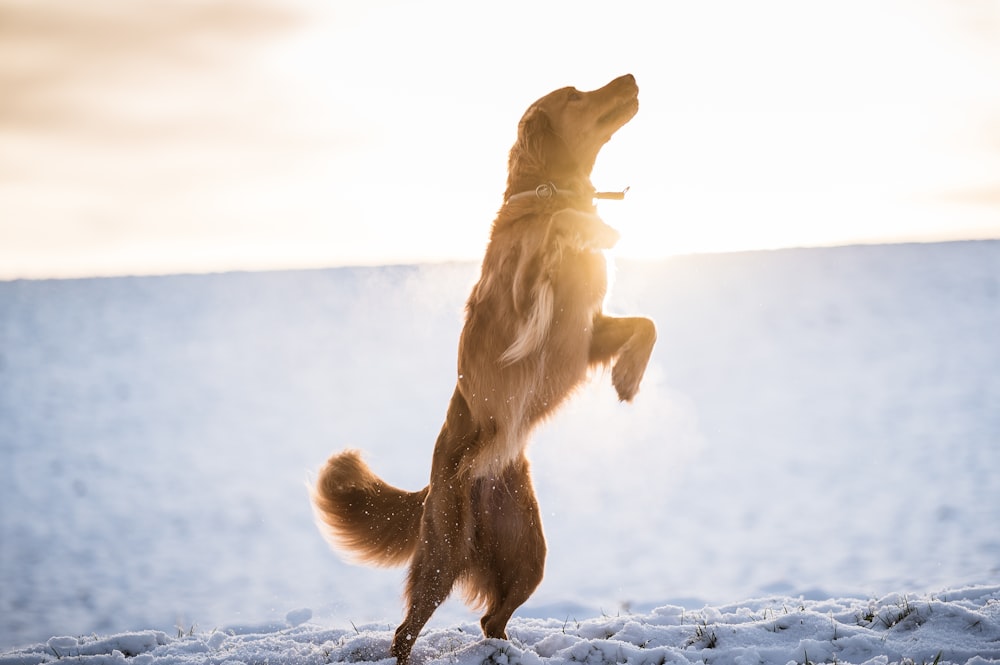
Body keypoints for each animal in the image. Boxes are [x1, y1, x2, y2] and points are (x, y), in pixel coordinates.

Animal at [312, 74, 656, 664]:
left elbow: (647, 324)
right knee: (406, 630)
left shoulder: (584, 337)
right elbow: (562, 224)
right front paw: (595, 228)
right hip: (445, 552)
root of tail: (431, 483)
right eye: (574, 94)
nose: (630, 77)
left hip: (527, 553)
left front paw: (628, 376)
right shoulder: (520, 297)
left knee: (491, 618)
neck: (545, 192)